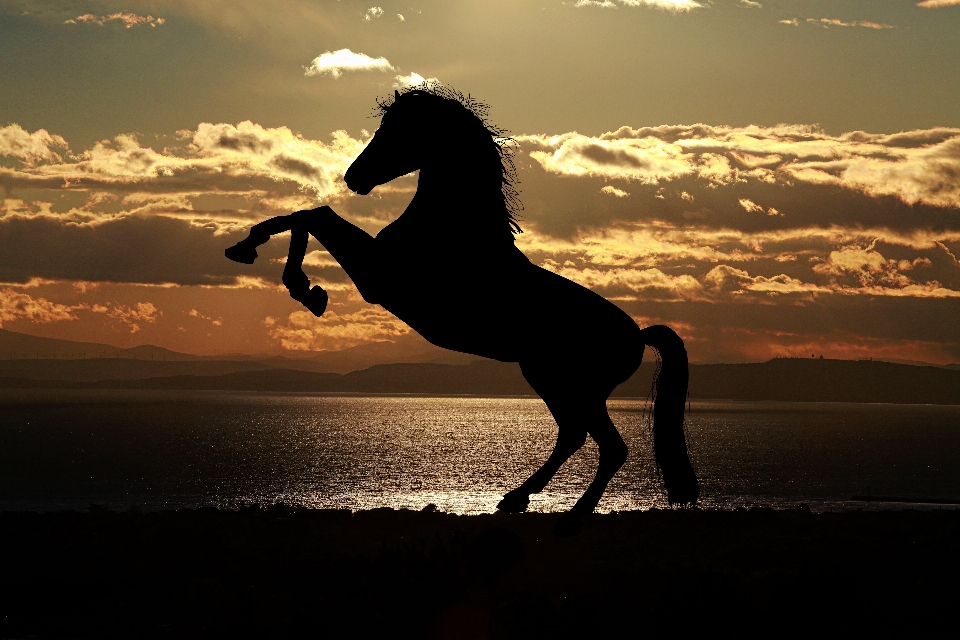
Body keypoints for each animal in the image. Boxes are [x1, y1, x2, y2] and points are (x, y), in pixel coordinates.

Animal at [229, 85, 700, 536]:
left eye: (398, 130)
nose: (353, 177)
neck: (452, 229)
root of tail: (637, 335)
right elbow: (305, 215)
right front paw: (258, 255)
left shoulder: (378, 278)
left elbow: (314, 215)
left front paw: (299, 285)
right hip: (548, 378)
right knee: (573, 435)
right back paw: (516, 498)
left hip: (575, 386)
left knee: (609, 446)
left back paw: (569, 518)